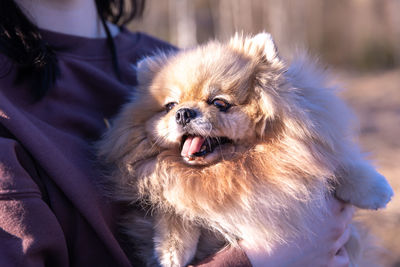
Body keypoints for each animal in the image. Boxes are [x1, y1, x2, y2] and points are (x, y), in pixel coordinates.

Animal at [97, 33, 394, 267]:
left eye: (219, 103)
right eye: (170, 106)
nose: (183, 113)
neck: (233, 168)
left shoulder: (306, 147)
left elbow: (337, 162)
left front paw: (375, 189)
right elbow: (174, 202)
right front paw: (171, 250)